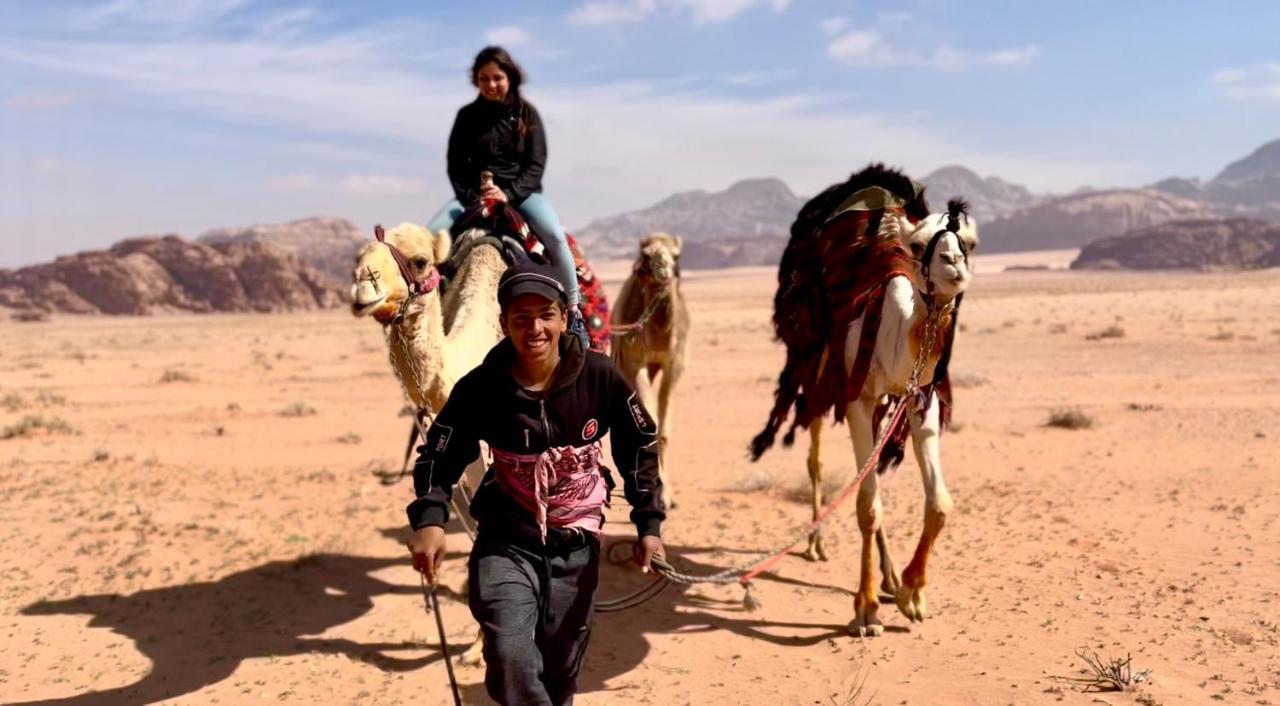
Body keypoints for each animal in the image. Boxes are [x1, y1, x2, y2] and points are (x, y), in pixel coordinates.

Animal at [609, 234, 691, 509]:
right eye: (646, 255)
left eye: (676, 255)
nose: (663, 270)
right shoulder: (636, 364)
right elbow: (650, 426)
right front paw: (658, 491)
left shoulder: (674, 364)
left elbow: (662, 431)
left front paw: (667, 495)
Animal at [747, 166, 972, 639]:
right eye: (920, 245)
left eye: (968, 243)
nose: (953, 266)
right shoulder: (857, 397)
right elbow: (867, 506)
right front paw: (865, 611)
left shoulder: (921, 399)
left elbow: (939, 503)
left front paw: (912, 593)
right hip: (815, 374)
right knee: (816, 458)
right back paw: (817, 545)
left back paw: (890, 577)